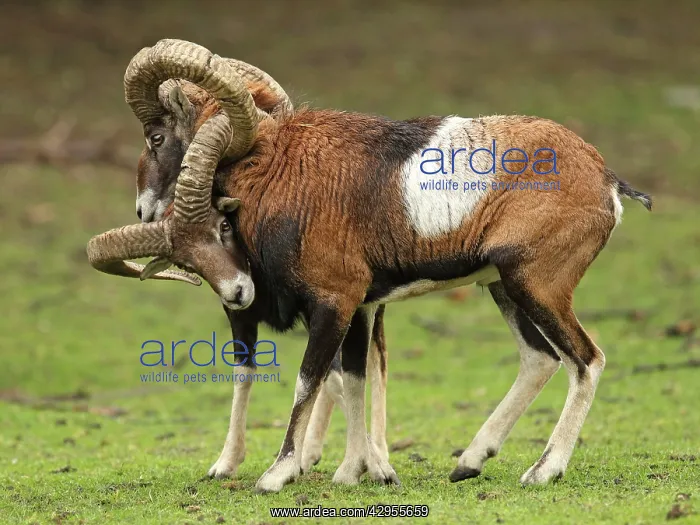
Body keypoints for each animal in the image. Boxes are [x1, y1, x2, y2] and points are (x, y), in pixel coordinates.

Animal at [88, 39, 653, 494]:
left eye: (156, 137)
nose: (144, 211)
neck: (275, 169)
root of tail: (606, 180)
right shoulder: (355, 309)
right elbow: (353, 379)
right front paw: (360, 472)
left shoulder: (336, 302)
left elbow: (309, 379)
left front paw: (278, 474)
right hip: (503, 288)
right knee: (539, 359)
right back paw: (468, 464)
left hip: (535, 285)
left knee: (587, 359)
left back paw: (542, 471)